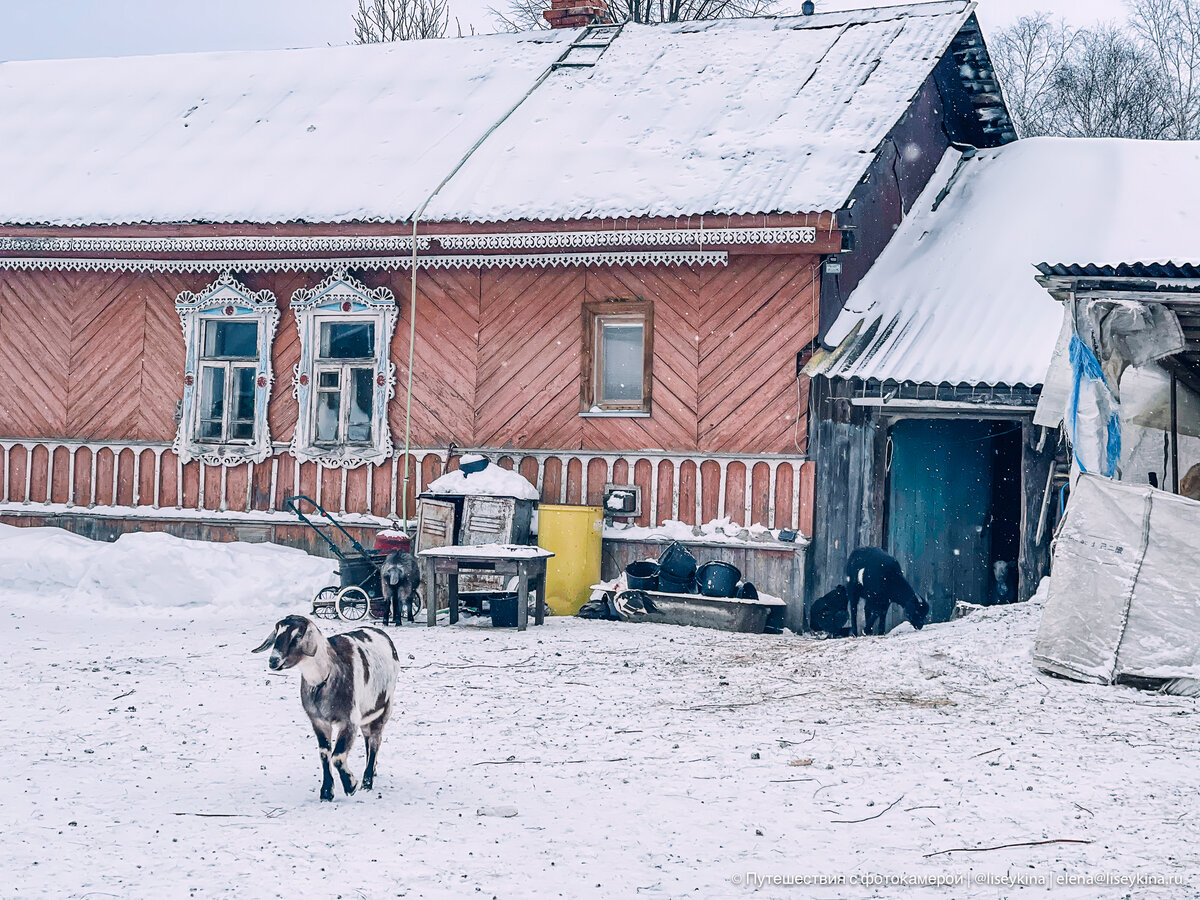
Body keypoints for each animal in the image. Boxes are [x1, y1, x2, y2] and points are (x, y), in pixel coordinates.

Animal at [253, 619, 403, 801]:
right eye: (277, 633)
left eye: (297, 635)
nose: (273, 660)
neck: (326, 675)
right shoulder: (319, 721)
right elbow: (325, 753)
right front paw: (326, 792)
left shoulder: (349, 720)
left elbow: (337, 756)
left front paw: (351, 785)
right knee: (369, 738)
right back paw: (371, 772)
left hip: (384, 707)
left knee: (375, 740)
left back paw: (367, 782)